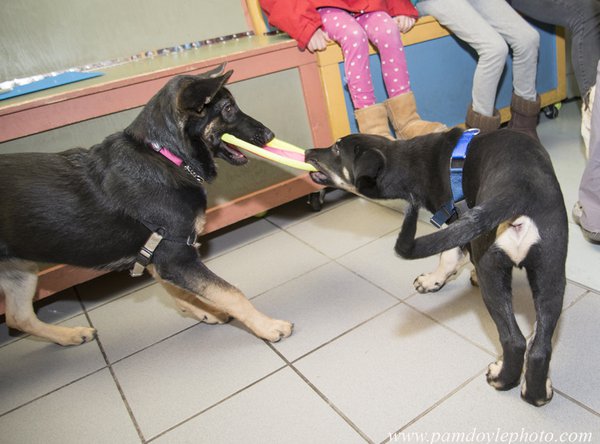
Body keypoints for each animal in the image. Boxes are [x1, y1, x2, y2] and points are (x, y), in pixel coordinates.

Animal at [0, 62, 292, 346]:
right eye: (229, 108)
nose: (270, 134)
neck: (167, 155)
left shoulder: (158, 257)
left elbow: (180, 293)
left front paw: (206, 310)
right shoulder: (175, 257)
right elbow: (230, 293)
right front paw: (267, 327)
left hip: (21, 270)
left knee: (18, 318)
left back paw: (70, 335)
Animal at [308, 128, 568, 406]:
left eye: (336, 149)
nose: (308, 151)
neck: (411, 163)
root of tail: (518, 188)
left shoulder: (457, 220)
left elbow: (449, 256)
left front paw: (433, 280)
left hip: (494, 268)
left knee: (514, 340)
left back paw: (502, 379)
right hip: (551, 272)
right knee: (540, 346)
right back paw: (537, 392)